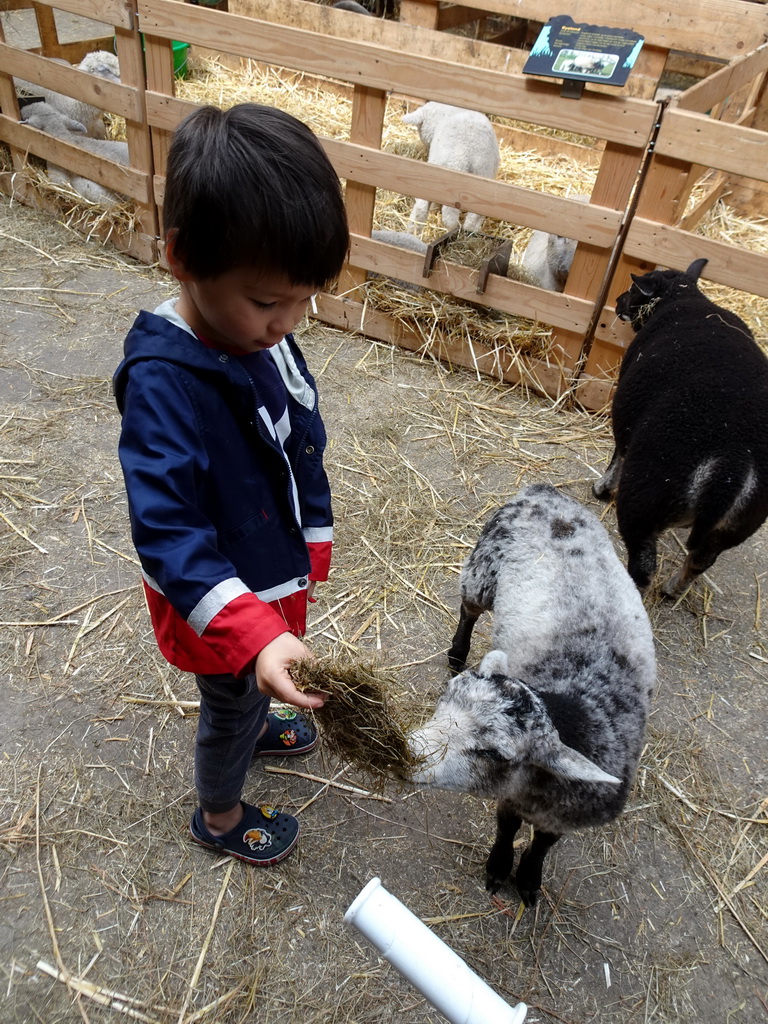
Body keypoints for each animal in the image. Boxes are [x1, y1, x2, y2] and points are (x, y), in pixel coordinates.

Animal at [399, 100, 501, 234]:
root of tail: (461, 156)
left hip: (435, 173)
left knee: (422, 208)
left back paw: (413, 231)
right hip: (482, 178)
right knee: (470, 219)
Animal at [409, 483, 655, 909]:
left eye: (494, 753)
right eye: (443, 702)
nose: (407, 752)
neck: (577, 709)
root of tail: (544, 492)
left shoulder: (560, 813)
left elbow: (543, 842)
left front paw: (528, 877)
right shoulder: (511, 796)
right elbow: (507, 826)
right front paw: (499, 866)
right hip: (482, 569)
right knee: (469, 608)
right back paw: (458, 651)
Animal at [593, 256, 768, 593]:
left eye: (634, 289)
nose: (618, 301)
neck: (682, 298)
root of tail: (732, 463)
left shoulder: (626, 416)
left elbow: (617, 456)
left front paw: (601, 488)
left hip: (646, 495)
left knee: (644, 565)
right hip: (733, 527)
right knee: (700, 561)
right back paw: (673, 588)